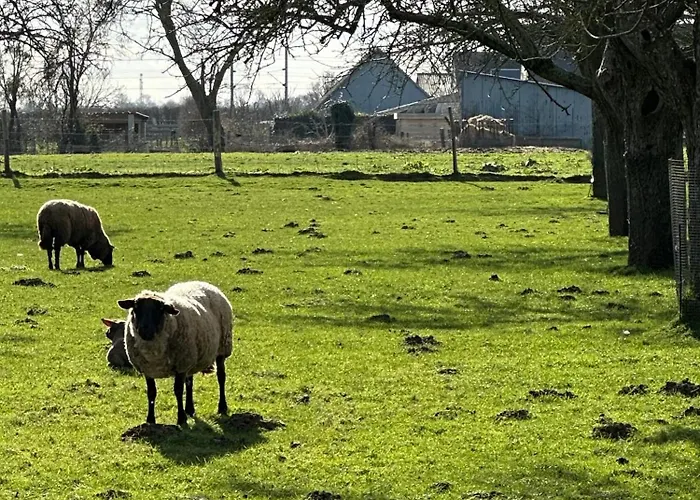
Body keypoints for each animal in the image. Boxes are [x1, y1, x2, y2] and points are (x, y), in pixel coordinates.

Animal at [117, 281, 234, 426]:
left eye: (160, 309)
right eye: (135, 308)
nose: (145, 331)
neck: (154, 353)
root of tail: (199, 282)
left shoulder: (180, 366)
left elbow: (178, 391)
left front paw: (181, 419)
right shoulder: (148, 370)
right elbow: (151, 393)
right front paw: (150, 420)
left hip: (222, 348)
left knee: (221, 377)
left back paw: (222, 407)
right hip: (191, 356)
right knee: (189, 381)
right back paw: (190, 409)